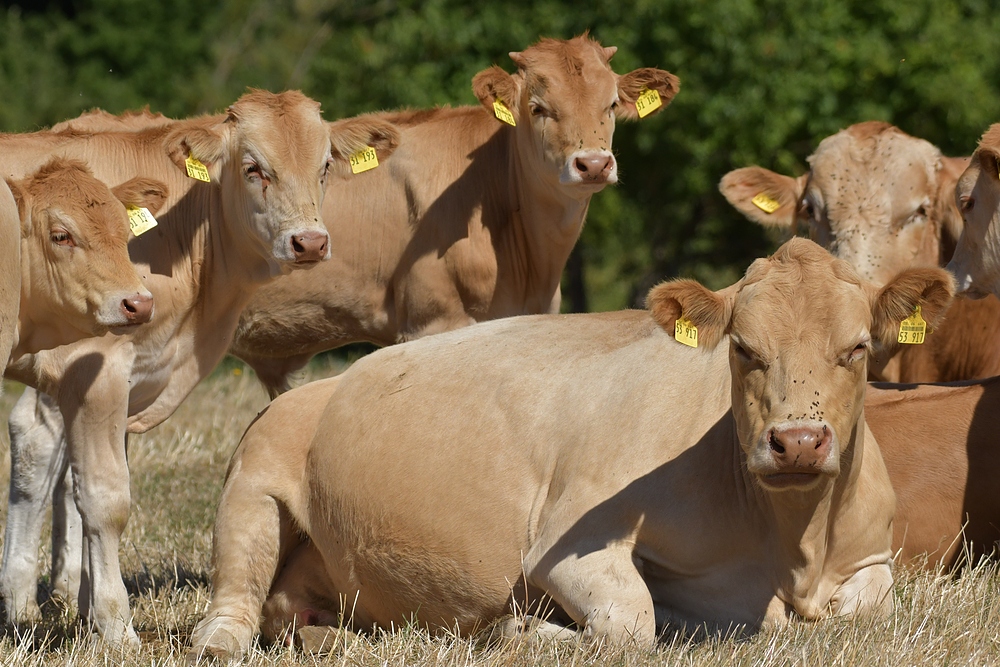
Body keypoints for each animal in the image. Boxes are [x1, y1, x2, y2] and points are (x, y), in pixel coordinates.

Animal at [0, 91, 400, 644]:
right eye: (253, 168)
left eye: (324, 167)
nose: (310, 242)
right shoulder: (93, 369)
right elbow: (102, 495)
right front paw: (114, 625)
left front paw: (84, 610)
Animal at [189, 239, 952, 656]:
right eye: (743, 348)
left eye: (857, 348)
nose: (796, 442)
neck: (790, 542)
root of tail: (324, 383)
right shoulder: (567, 541)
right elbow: (632, 623)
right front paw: (518, 631)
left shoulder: (874, 557)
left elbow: (868, 609)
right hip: (252, 481)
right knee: (233, 605)